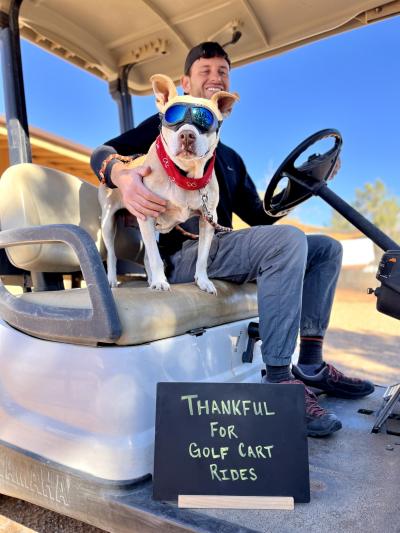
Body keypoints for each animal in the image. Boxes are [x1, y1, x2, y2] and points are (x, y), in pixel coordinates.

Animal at [99, 72, 239, 294]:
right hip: (108, 223)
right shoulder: (147, 214)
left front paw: (203, 281)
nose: (187, 135)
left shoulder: (207, 220)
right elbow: (156, 258)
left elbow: (202, 258)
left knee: (146, 256)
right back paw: (113, 279)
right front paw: (159, 281)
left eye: (205, 119)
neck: (184, 175)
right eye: (172, 117)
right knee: (113, 255)